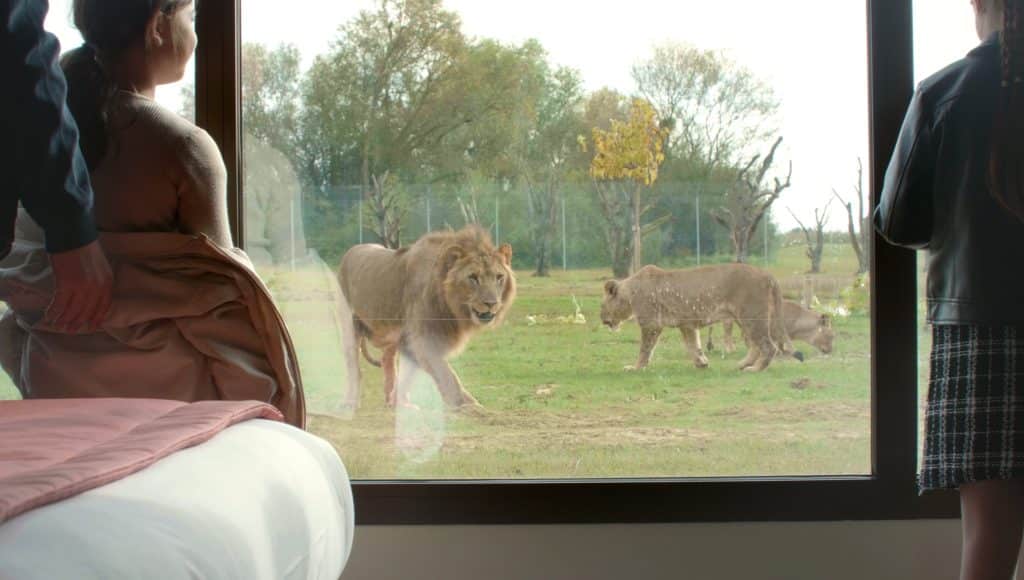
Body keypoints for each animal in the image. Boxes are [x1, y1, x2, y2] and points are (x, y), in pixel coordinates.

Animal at [337, 225, 516, 411]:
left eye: (499, 277)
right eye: (473, 277)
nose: (491, 303)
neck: (451, 308)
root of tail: (350, 251)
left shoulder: (412, 340)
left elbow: (409, 375)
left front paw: (399, 402)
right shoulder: (424, 338)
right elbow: (447, 374)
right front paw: (470, 406)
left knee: (387, 360)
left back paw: (393, 402)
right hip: (350, 325)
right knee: (353, 367)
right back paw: (349, 403)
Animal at [600, 263, 799, 372]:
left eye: (602, 306)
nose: (601, 318)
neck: (630, 293)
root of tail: (767, 274)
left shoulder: (651, 325)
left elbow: (645, 349)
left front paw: (635, 368)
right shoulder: (686, 324)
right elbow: (693, 345)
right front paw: (702, 363)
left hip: (751, 316)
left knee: (768, 346)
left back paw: (754, 369)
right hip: (746, 319)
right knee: (756, 346)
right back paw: (741, 364)